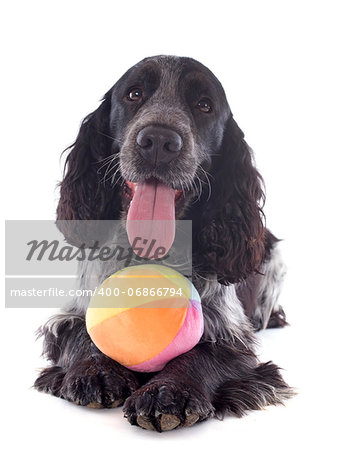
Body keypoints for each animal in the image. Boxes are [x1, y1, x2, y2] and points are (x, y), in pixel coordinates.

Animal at [34, 56, 294, 432]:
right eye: (134, 93)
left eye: (204, 105)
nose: (158, 140)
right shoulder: (70, 314)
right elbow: (81, 334)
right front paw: (97, 373)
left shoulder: (231, 334)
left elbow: (202, 353)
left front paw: (168, 392)